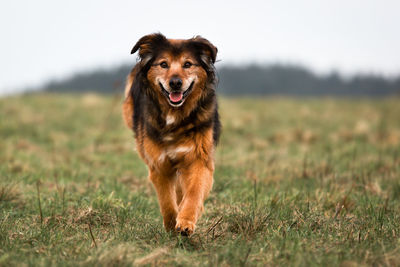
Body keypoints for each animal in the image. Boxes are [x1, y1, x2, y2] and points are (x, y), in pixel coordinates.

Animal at [122, 33, 222, 237]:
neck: (175, 114)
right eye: (163, 64)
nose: (175, 83)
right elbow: (167, 201)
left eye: (188, 64)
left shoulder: (199, 158)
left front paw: (185, 222)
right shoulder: (159, 164)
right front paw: (171, 226)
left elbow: (193, 193)